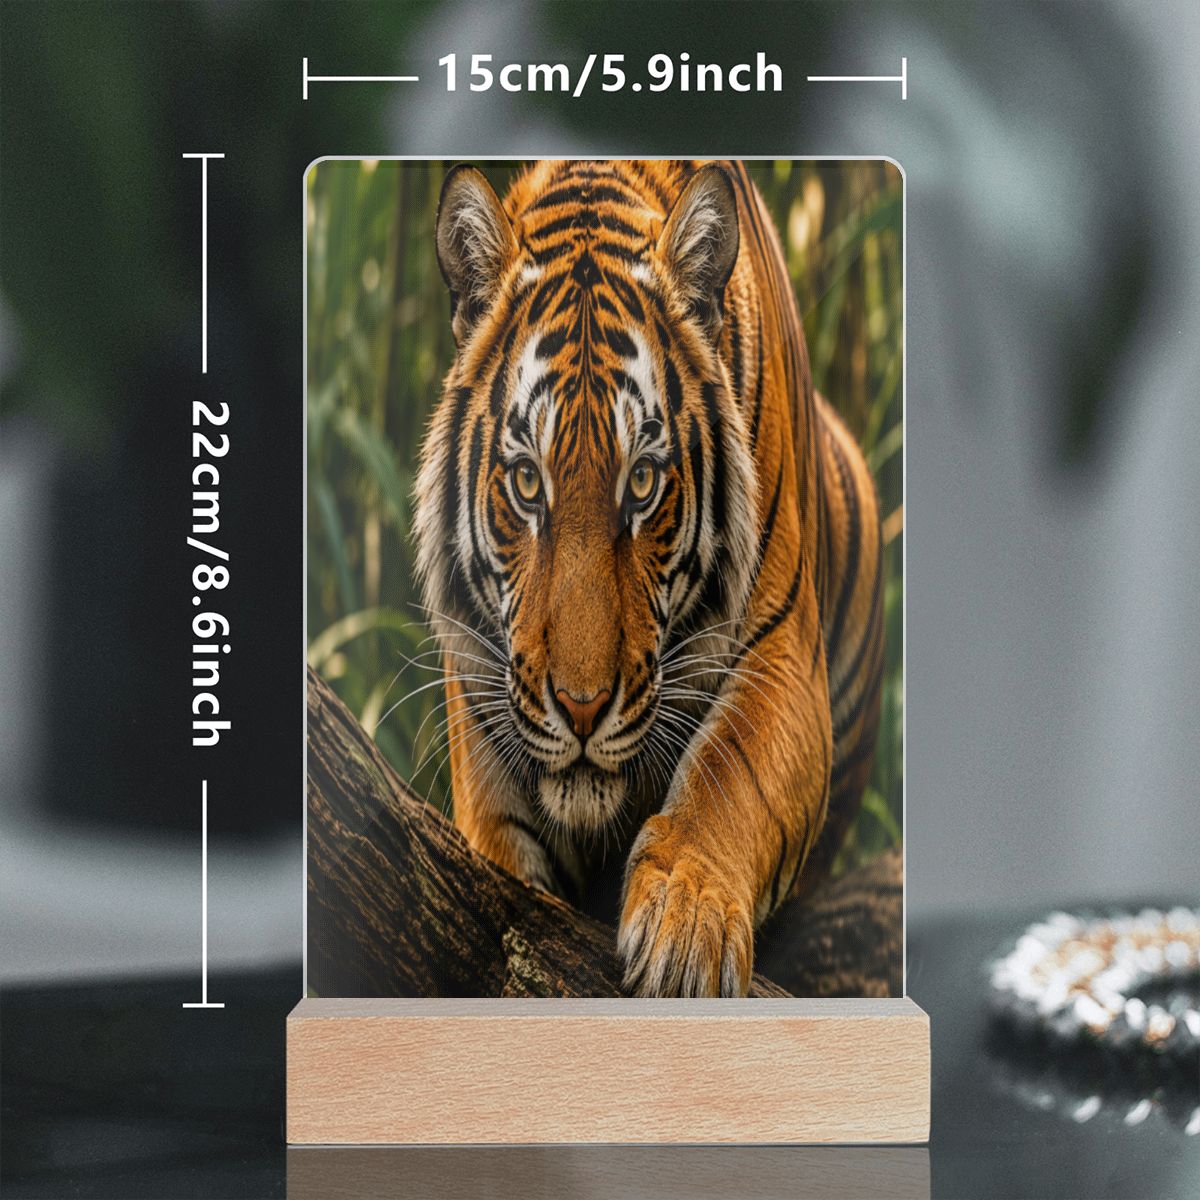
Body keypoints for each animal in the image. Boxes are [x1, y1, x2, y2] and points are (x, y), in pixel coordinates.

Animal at [413, 159, 884, 998]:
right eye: (527, 483)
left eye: (642, 483)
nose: (581, 710)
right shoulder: (480, 679)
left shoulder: (785, 659)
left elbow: (731, 776)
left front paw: (685, 933)